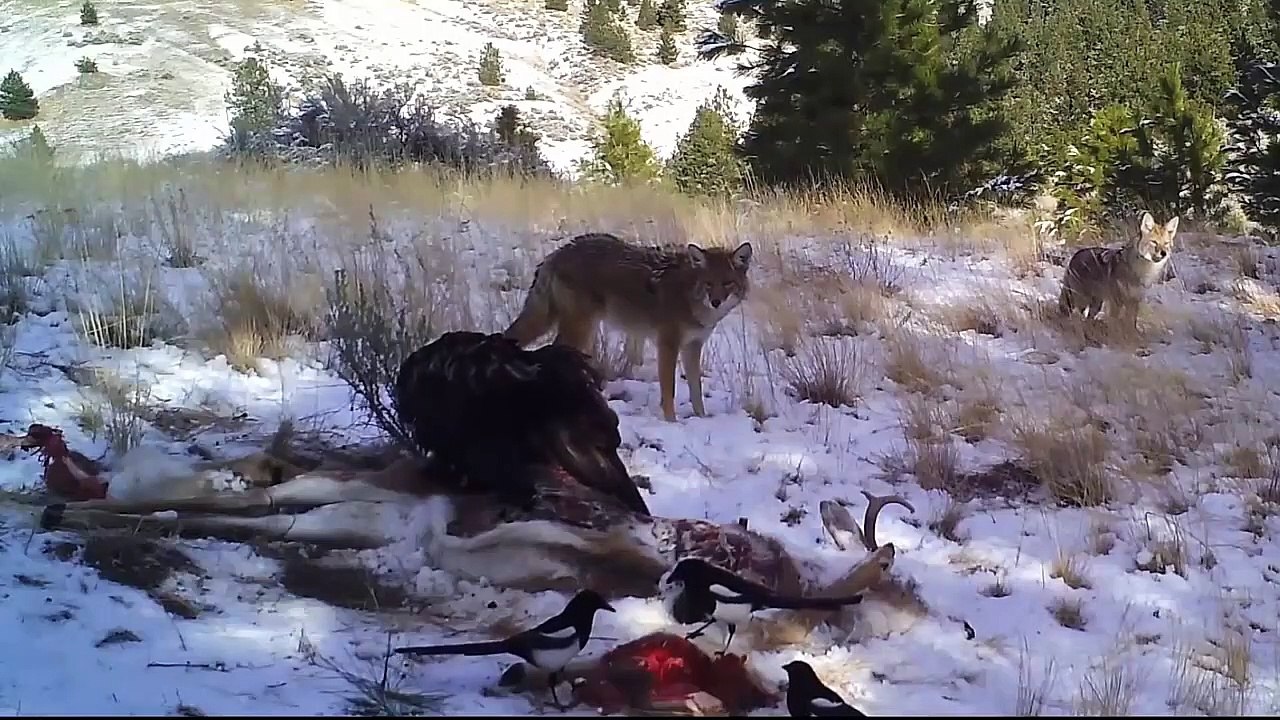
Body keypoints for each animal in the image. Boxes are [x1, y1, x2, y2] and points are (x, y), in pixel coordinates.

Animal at [504, 233, 753, 422]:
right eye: (708, 284)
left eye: (727, 283)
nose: (716, 302)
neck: (689, 296)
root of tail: (555, 254)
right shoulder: (667, 345)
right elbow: (669, 389)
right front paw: (671, 422)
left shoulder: (692, 347)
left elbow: (696, 390)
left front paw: (701, 418)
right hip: (581, 329)